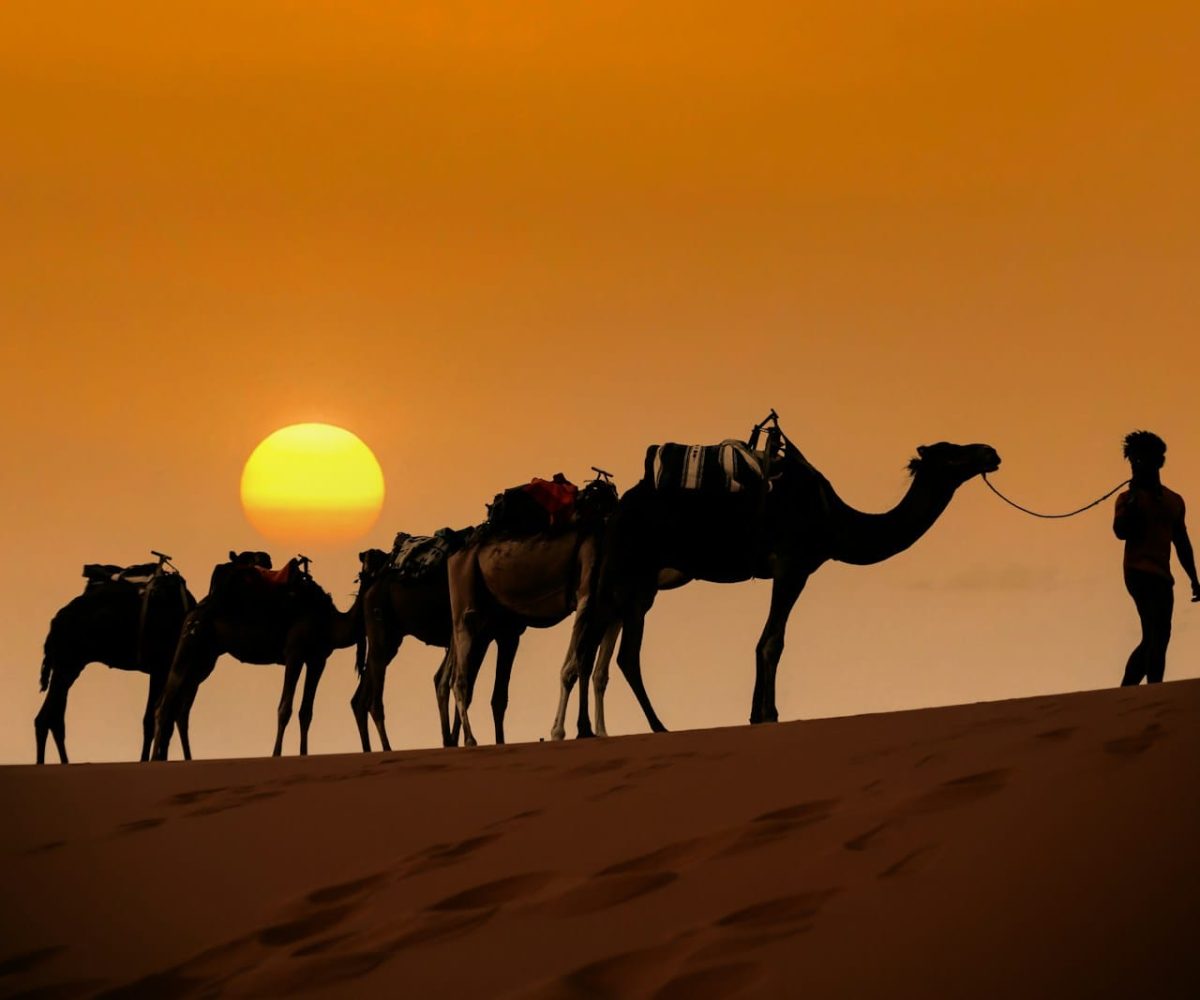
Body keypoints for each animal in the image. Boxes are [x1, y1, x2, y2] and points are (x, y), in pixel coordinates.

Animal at [35, 554, 196, 764]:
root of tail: (55, 622)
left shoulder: (164, 672)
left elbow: (160, 720)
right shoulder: (160, 668)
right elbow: (154, 720)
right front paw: (147, 761)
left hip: (69, 666)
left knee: (53, 718)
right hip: (67, 663)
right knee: (45, 719)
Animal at [151, 551, 382, 760]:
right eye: (373, 557)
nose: (388, 562)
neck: (329, 620)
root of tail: (196, 608)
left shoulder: (318, 660)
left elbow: (306, 712)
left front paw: (304, 755)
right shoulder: (295, 653)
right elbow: (285, 708)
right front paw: (276, 755)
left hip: (206, 656)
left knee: (181, 709)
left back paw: (188, 759)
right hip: (191, 638)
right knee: (165, 704)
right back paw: (154, 760)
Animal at [562, 435, 1001, 738]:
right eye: (951, 452)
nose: (990, 452)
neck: (834, 519)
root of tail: (616, 508)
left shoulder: (791, 568)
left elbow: (766, 641)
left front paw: (757, 714)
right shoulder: (794, 565)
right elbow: (772, 641)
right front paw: (768, 715)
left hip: (633, 581)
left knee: (602, 648)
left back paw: (598, 729)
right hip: (628, 569)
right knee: (611, 649)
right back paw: (641, 727)